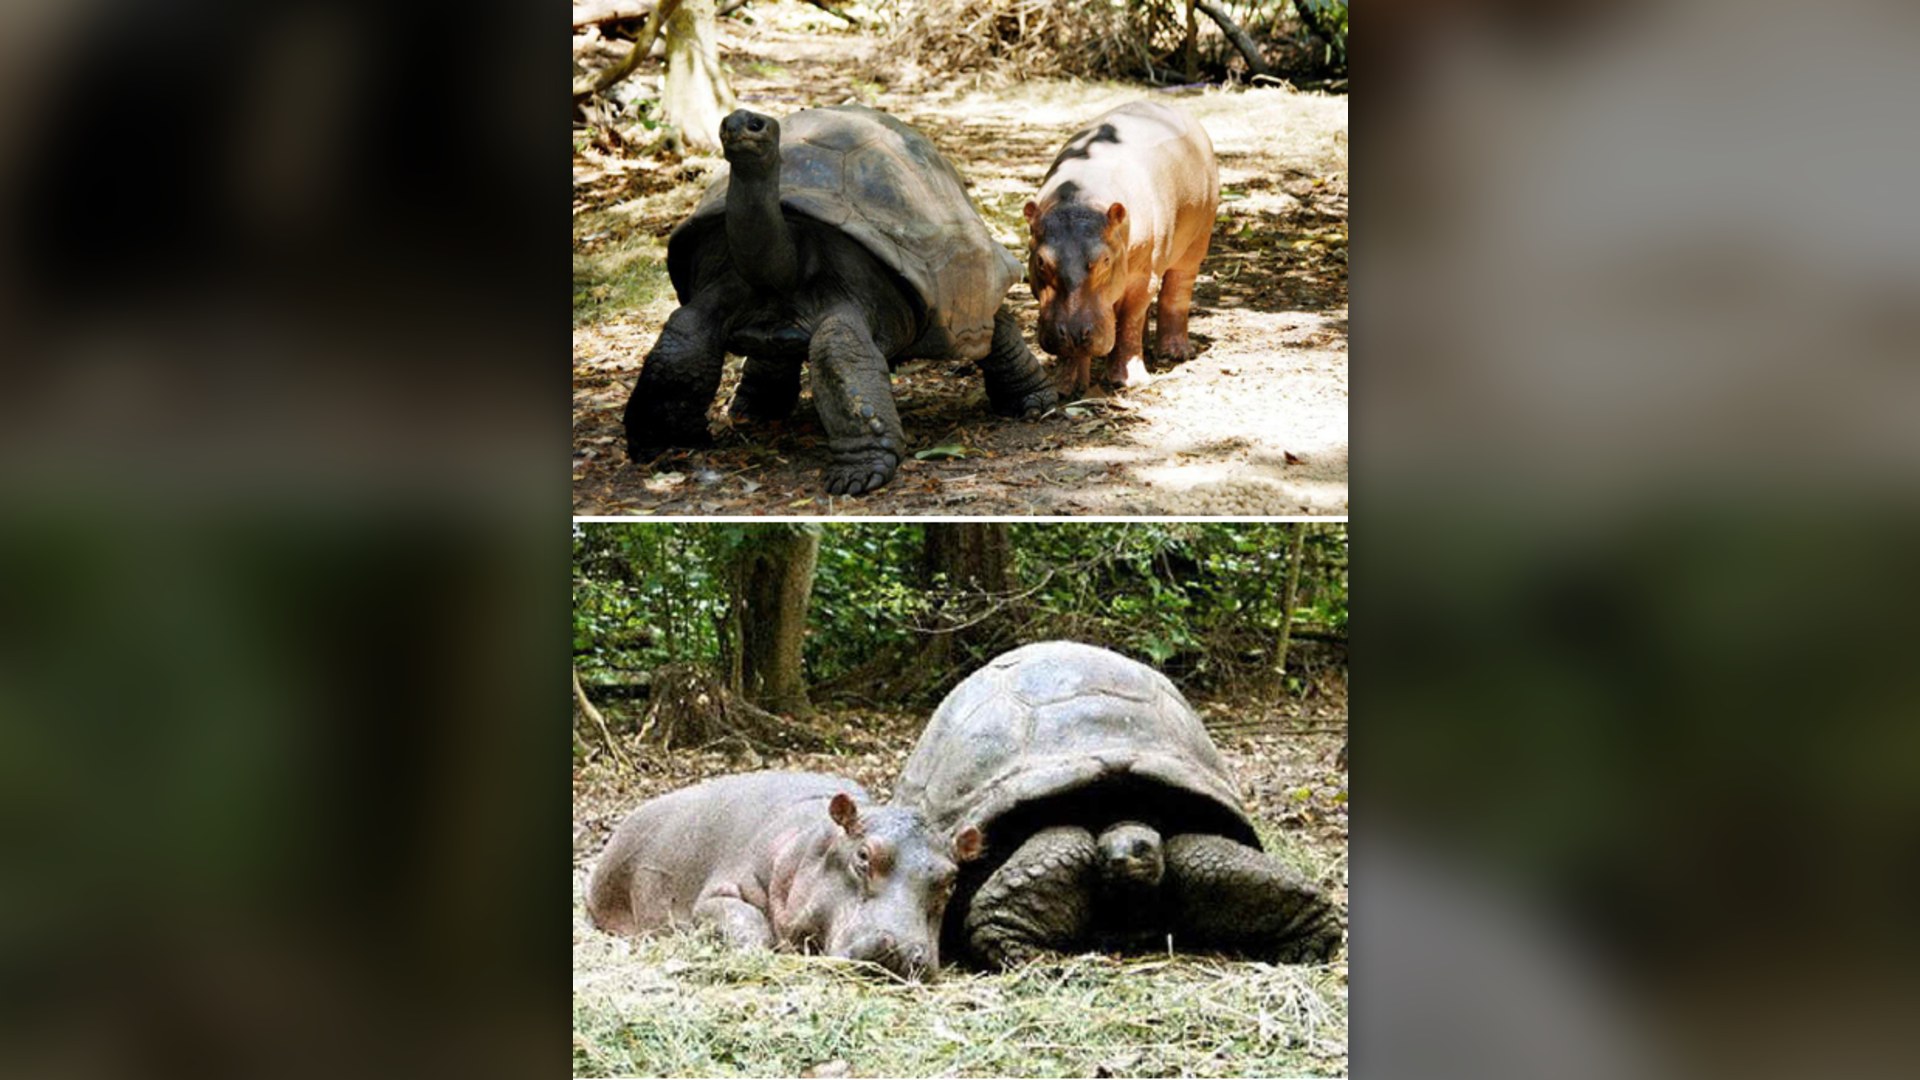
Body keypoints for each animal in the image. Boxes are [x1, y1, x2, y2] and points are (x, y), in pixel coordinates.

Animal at [586, 771, 982, 980]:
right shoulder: (723, 887)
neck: (813, 842)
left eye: (951, 880)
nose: (900, 948)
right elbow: (740, 917)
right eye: (863, 856)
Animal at [1024, 101, 1220, 397]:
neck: (1081, 199)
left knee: (1177, 290)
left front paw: (1130, 381)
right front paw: (1065, 387)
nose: (1073, 334)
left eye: (1105, 260)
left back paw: (1175, 353)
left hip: (1196, 240)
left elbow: (1130, 319)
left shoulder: (1144, 275)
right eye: (1041, 262)